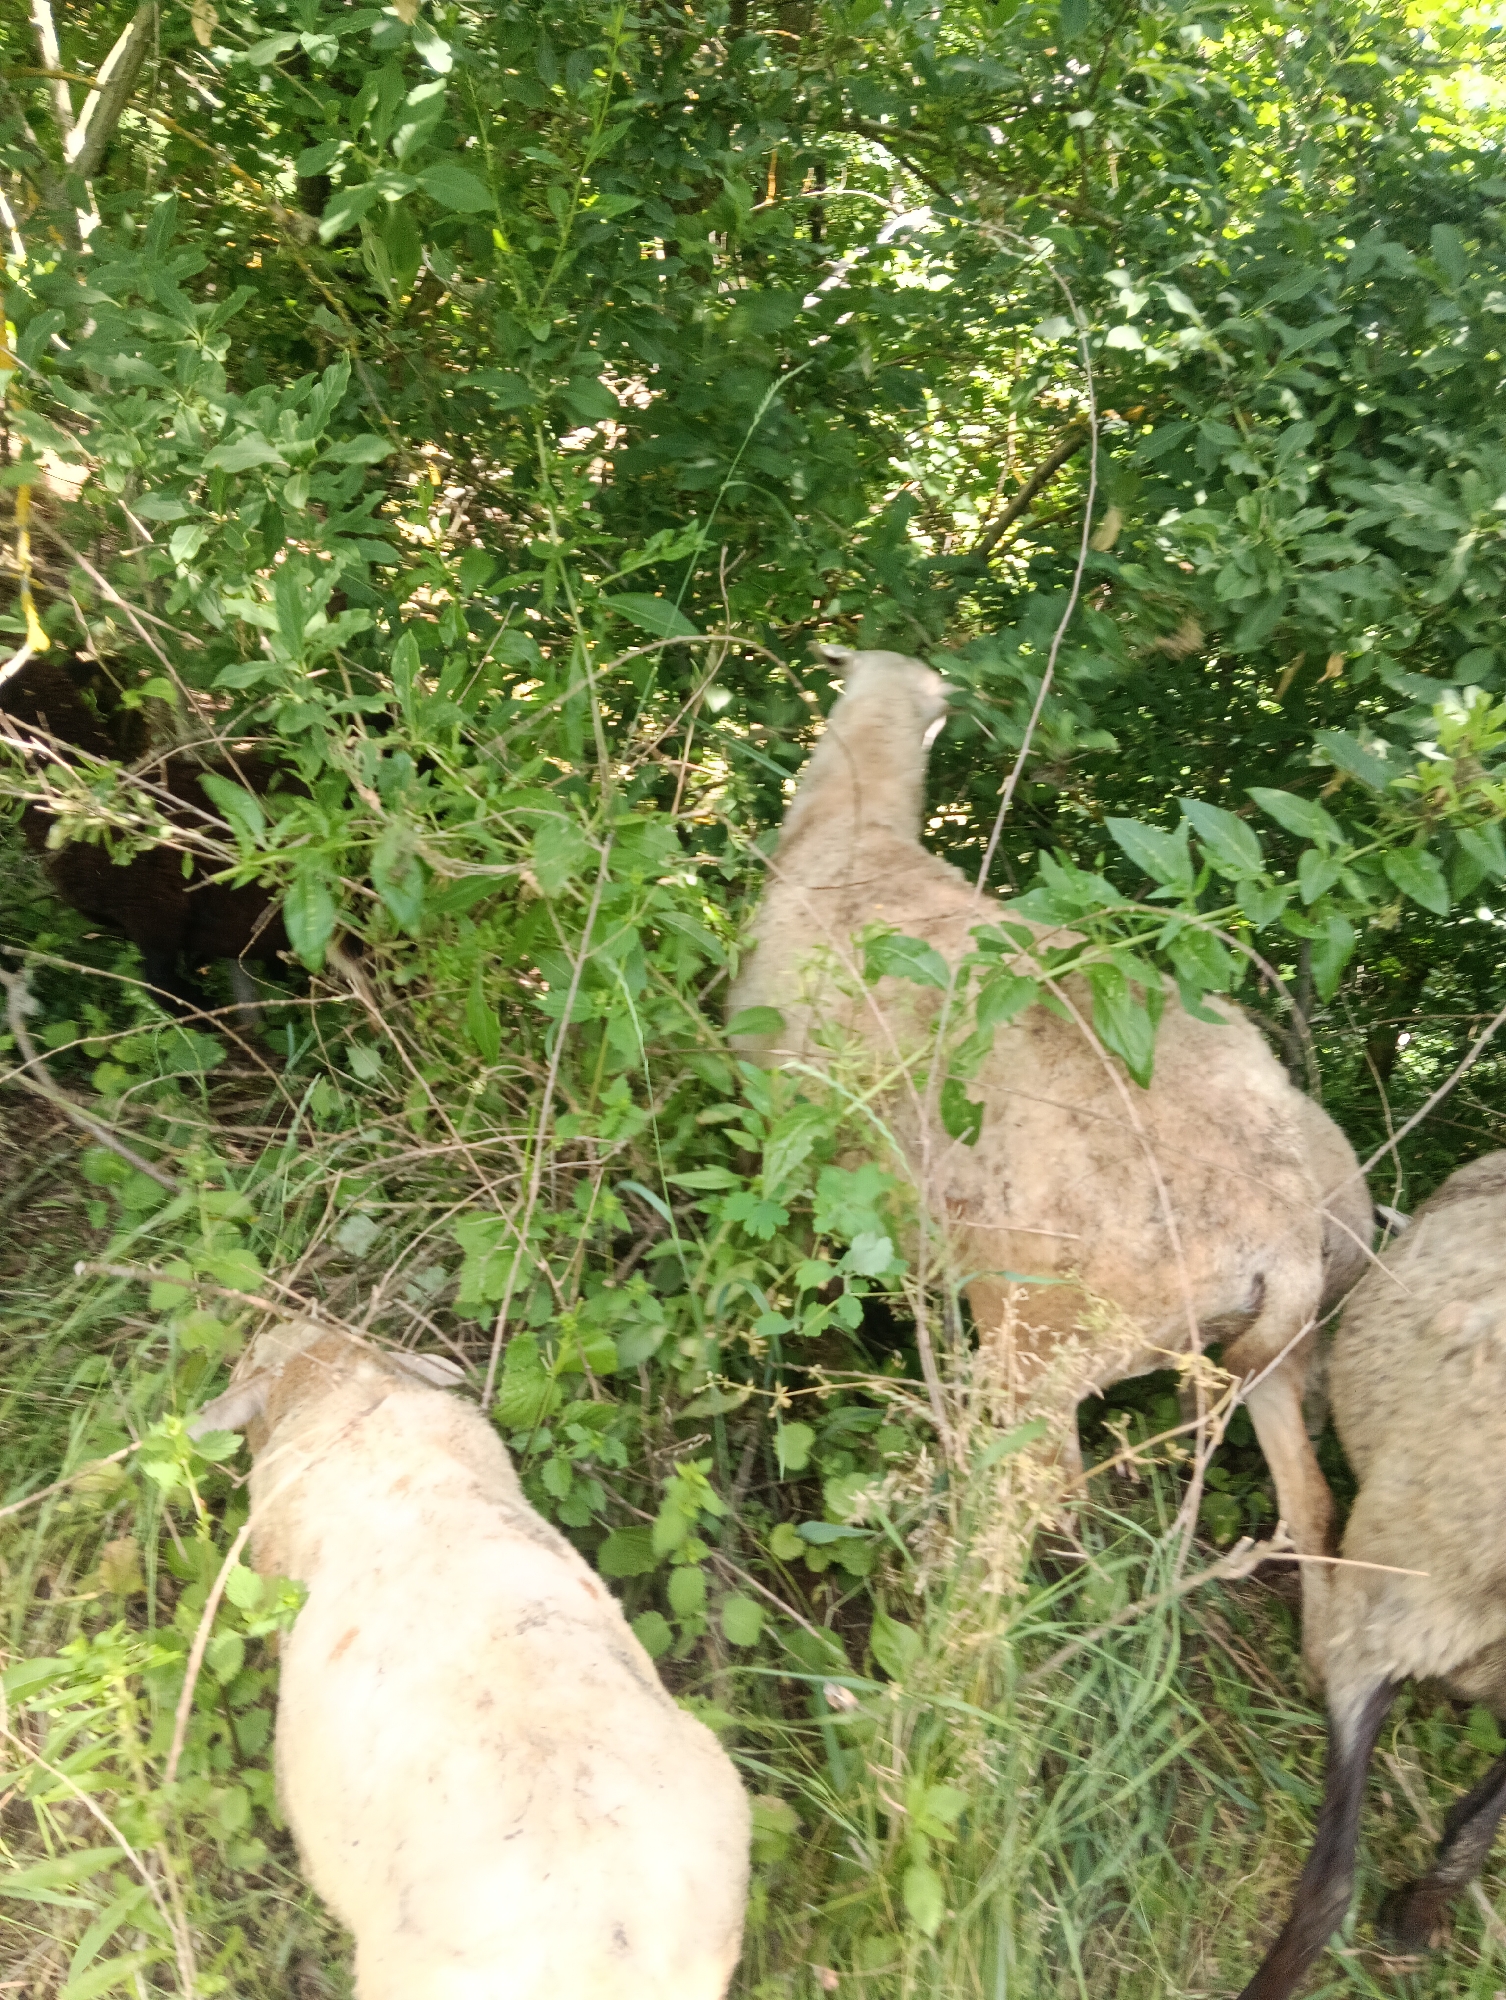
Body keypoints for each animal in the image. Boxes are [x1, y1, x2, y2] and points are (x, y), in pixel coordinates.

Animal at [729, 648, 1372, 1671]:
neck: (853, 830)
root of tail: (1279, 1238)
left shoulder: (780, 1134)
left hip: (1045, 1350)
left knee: (1031, 1528)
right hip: (1267, 1354)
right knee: (1310, 1502)